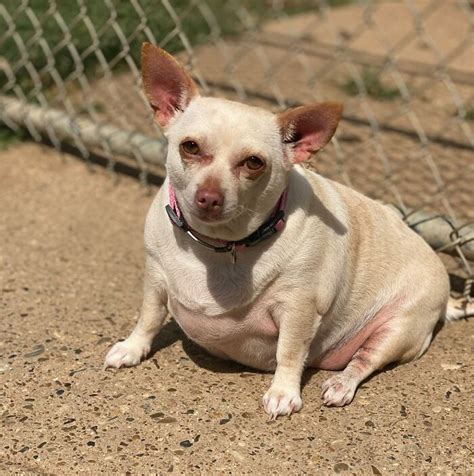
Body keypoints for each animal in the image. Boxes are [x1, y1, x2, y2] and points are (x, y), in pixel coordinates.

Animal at [105, 42, 472, 418]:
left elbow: (290, 351)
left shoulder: (299, 309)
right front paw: (132, 347)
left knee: (364, 361)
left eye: (254, 163)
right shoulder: (155, 279)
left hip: (398, 329)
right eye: (190, 146)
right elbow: (149, 316)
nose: (209, 197)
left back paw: (341, 384)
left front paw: (283, 392)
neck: (219, 246)